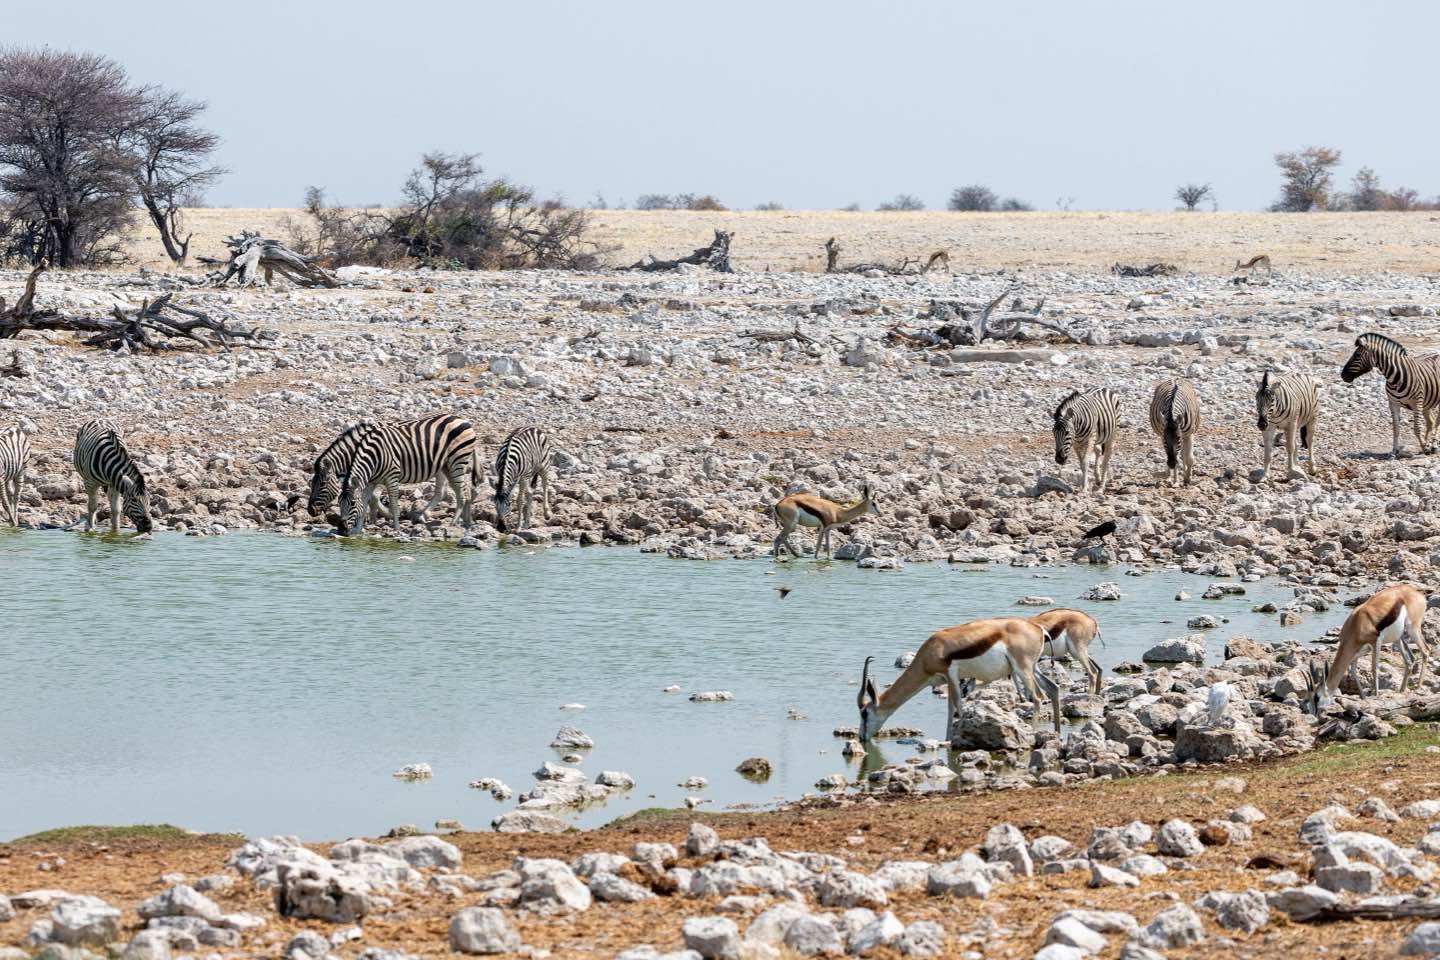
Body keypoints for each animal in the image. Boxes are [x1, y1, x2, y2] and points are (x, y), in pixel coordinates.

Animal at [337, 414, 478, 535]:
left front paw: (397, 529)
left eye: (353, 503)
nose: (342, 530)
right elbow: (365, 503)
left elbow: (394, 505)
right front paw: (357, 531)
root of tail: (462, 420)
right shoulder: (371, 482)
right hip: (447, 467)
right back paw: (467, 521)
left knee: (462, 493)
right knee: (464, 490)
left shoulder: (392, 477)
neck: (374, 457)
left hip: (457, 462)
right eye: (338, 503)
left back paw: (453, 523)